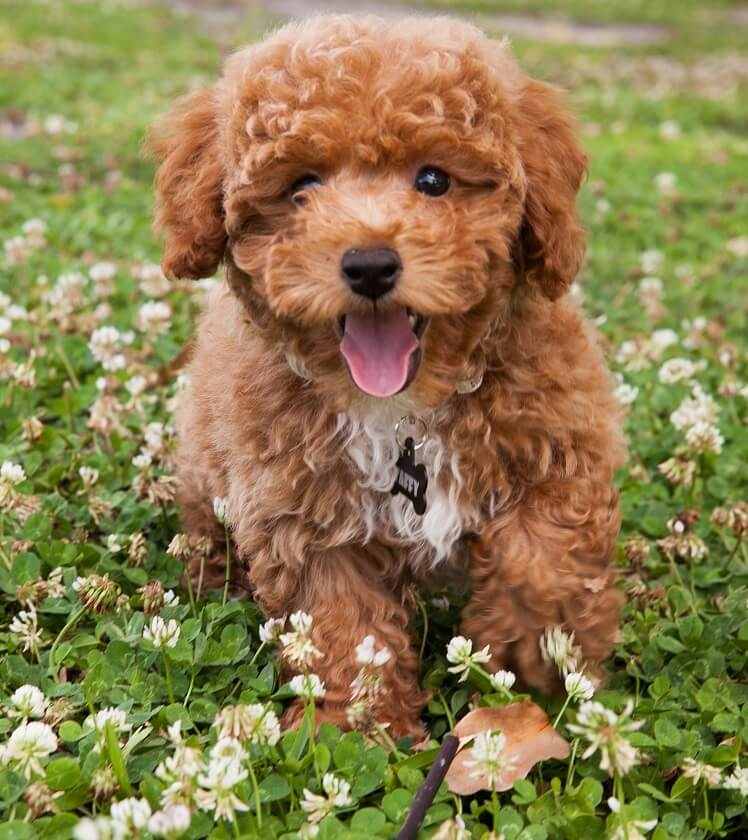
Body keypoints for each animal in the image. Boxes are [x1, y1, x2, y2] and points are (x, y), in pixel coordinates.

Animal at [148, 13, 624, 736]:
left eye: (433, 180)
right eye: (302, 187)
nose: (370, 265)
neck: (401, 410)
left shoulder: (560, 438)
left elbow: (544, 554)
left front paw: (528, 650)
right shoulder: (304, 515)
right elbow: (345, 624)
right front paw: (362, 724)